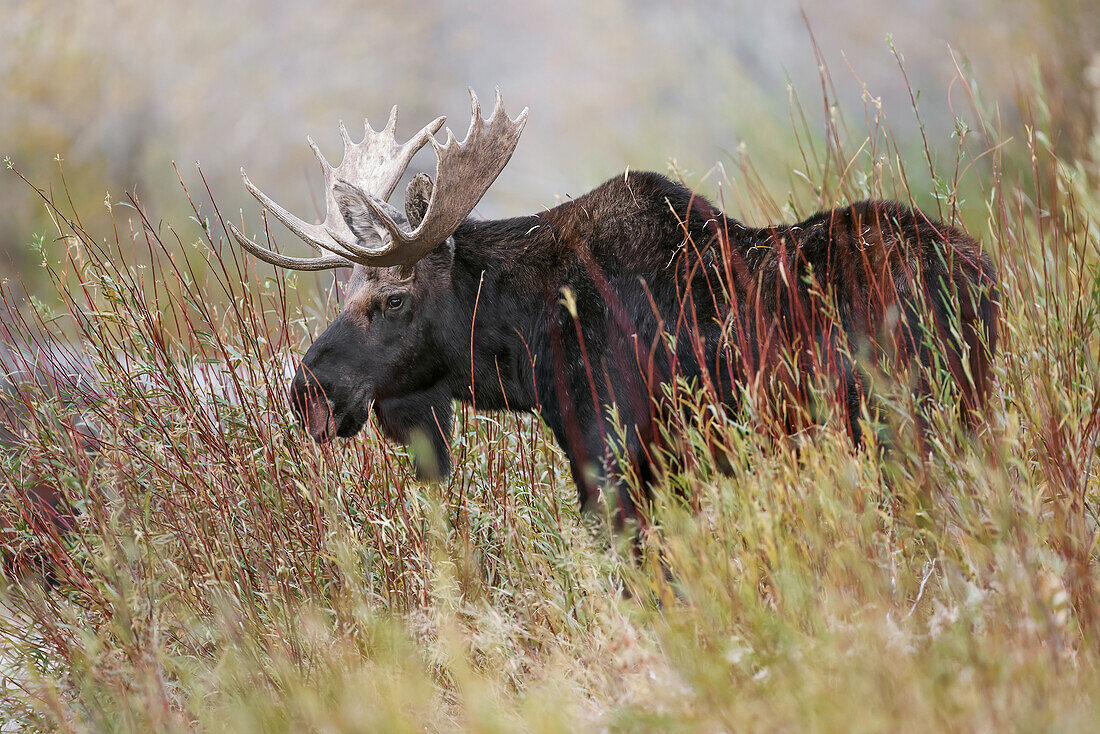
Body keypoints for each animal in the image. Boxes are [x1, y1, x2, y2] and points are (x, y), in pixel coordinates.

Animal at [229, 90, 998, 521]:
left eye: (392, 299)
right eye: (341, 290)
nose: (307, 392)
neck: (526, 351)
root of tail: (983, 277)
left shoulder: (615, 457)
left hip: (906, 423)